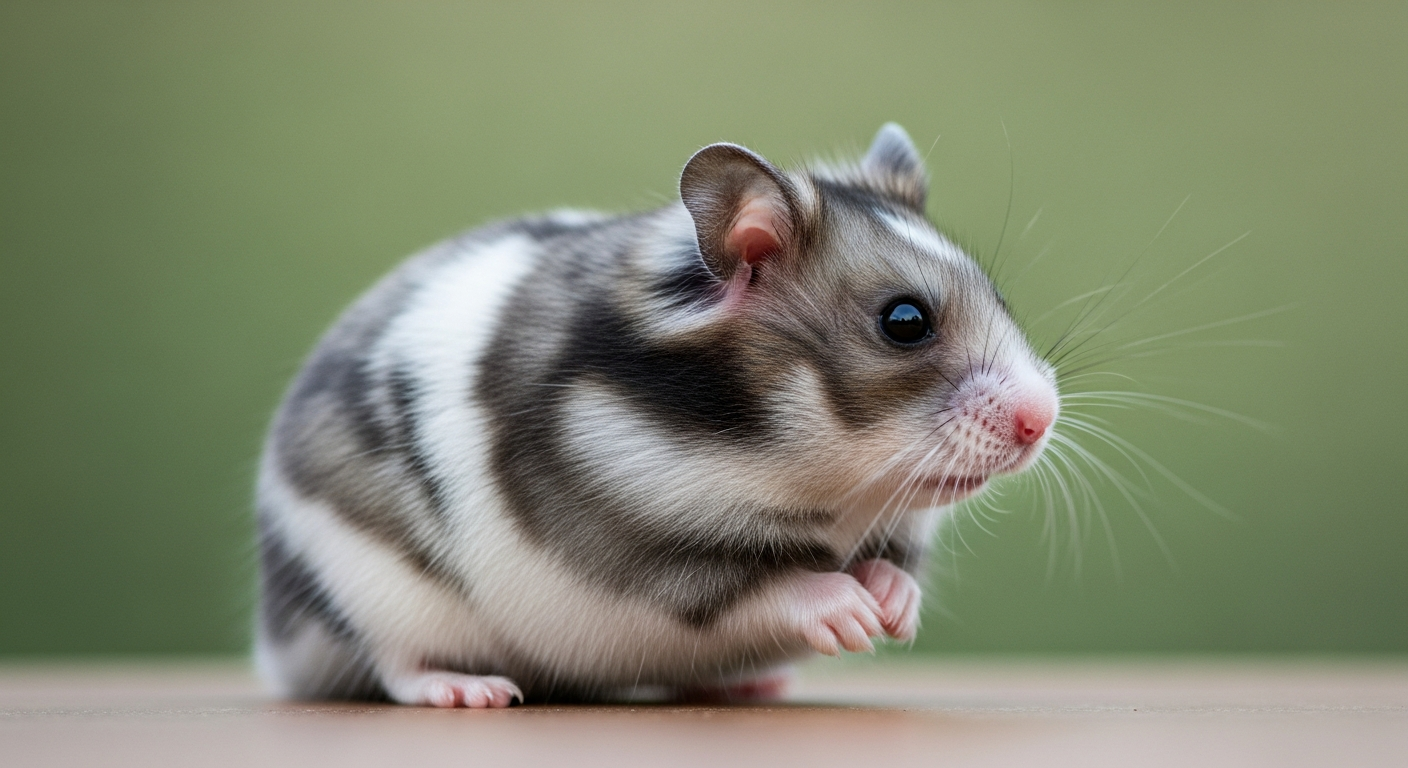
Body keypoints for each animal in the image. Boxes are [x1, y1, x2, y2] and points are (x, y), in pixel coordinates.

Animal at [255, 123, 1060, 707]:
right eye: (905, 321)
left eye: (997, 295)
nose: (1043, 421)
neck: (808, 476)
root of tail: (275, 646)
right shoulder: (637, 560)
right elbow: (763, 587)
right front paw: (855, 617)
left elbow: (892, 566)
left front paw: (894, 608)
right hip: (371, 591)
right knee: (394, 664)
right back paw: (470, 690)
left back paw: (756, 684)